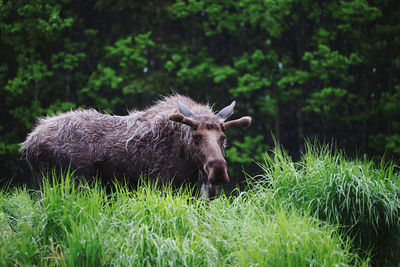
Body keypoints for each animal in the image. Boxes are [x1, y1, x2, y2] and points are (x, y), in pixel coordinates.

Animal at [21, 95, 250, 198]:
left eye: (223, 137)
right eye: (196, 136)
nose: (218, 170)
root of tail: (28, 143)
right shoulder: (162, 187)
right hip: (66, 185)